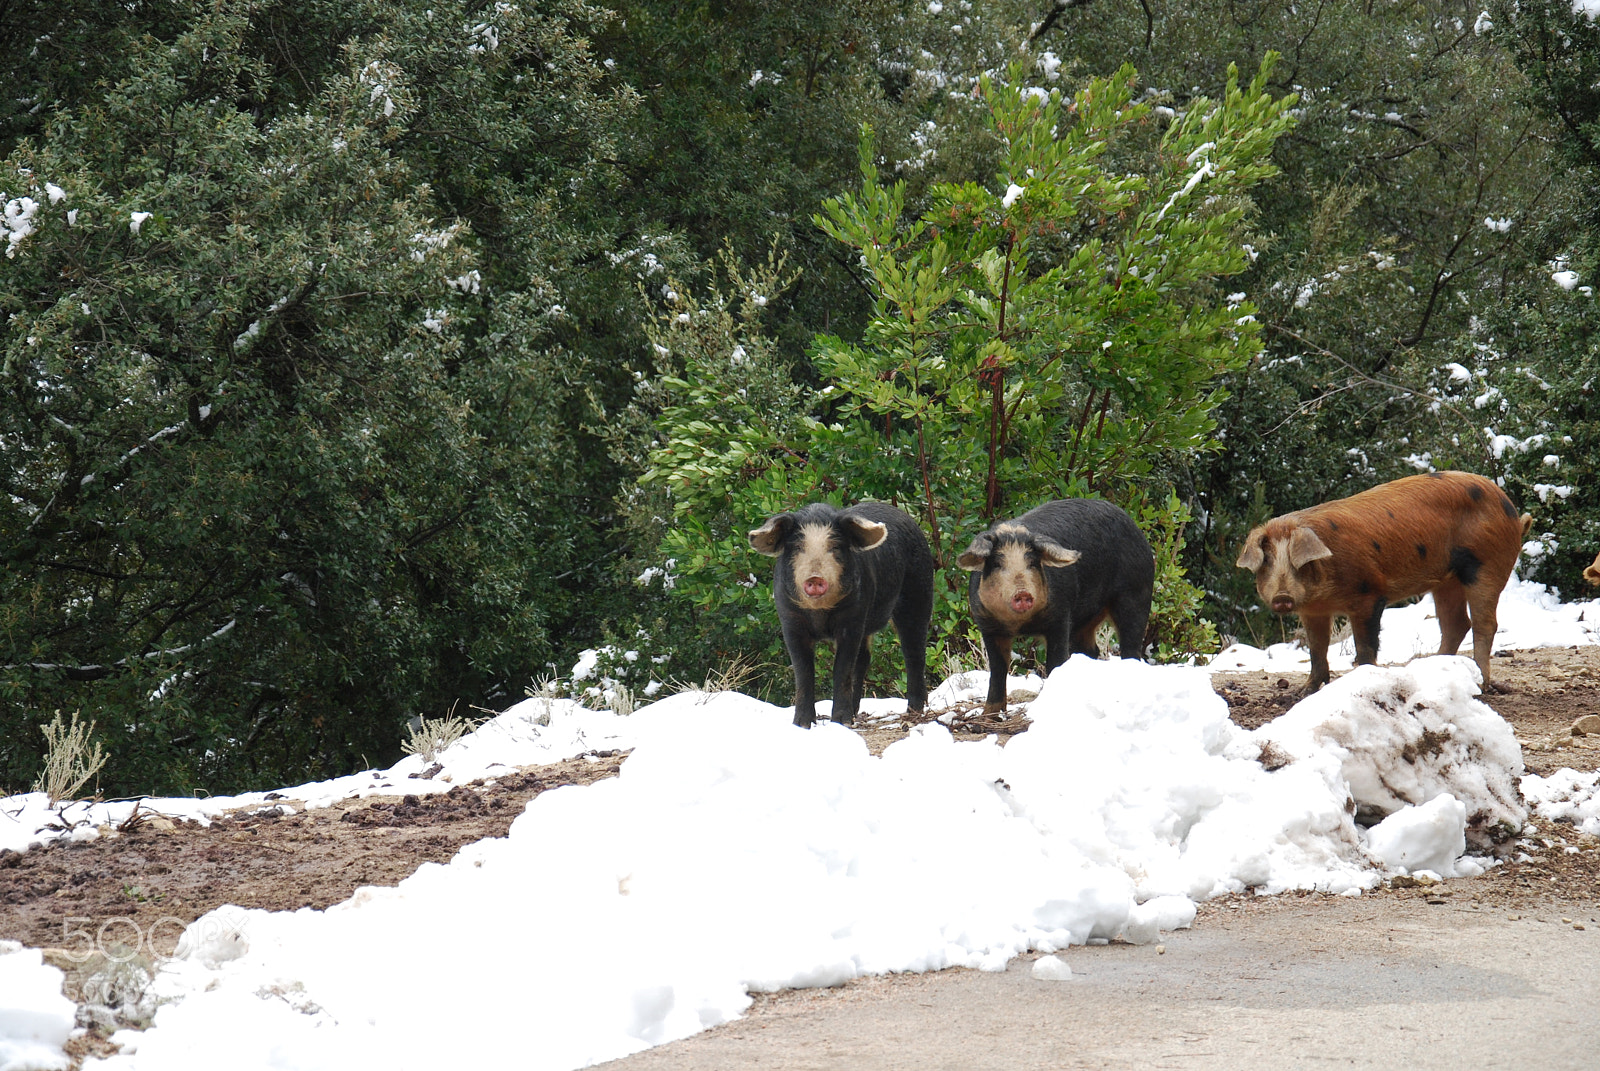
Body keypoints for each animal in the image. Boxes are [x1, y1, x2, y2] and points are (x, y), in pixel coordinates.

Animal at [748, 501, 933, 728]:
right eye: (797, 547)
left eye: (835, 547)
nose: (815, 578)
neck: (819, 615)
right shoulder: (790, 621)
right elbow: (803, 671)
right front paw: (801, 724)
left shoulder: (852, 618)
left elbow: (842, 668)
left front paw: (841, 722)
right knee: (864, 659)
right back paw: (855, 713)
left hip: (919, 591)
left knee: (913, 651)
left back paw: (913, 710)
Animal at [958, 499, 1155, 714]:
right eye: (996, 564)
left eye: (1032, 563)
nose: (1023, 593)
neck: (1020, 624)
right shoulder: (987, 625)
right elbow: (998, 670)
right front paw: (989, 715)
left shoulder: (1060, 617)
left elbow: (1055, 663)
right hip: (1085, 620)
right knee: (1091, 649)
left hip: (1136, 593)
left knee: (1131, 645)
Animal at [1235, 471, 1532, 693]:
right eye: (1267, 561)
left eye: (1296, 561)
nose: (1282, 598)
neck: (1325, 595)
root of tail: (1513, 512)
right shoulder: (1313, 611)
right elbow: (1316, 649)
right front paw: (1303, 692)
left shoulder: (1369, 596)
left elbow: (1365, 647)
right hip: (1446, 581)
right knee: (1457, 624)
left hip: (1486, 565)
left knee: (1485, 624)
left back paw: (1481, 684)